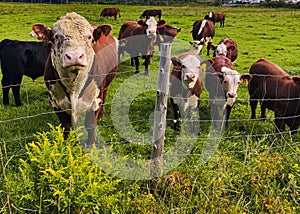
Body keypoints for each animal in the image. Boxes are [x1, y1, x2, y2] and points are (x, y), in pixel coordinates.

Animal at [30, 12, 118, 145]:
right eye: (57, 37)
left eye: (89, 37)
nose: (75, 56)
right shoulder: (56, 102)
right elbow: (66, 127)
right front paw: (66, 145)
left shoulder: (95, 100)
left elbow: (90, 125)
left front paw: (91, 145)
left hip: (106, 84)